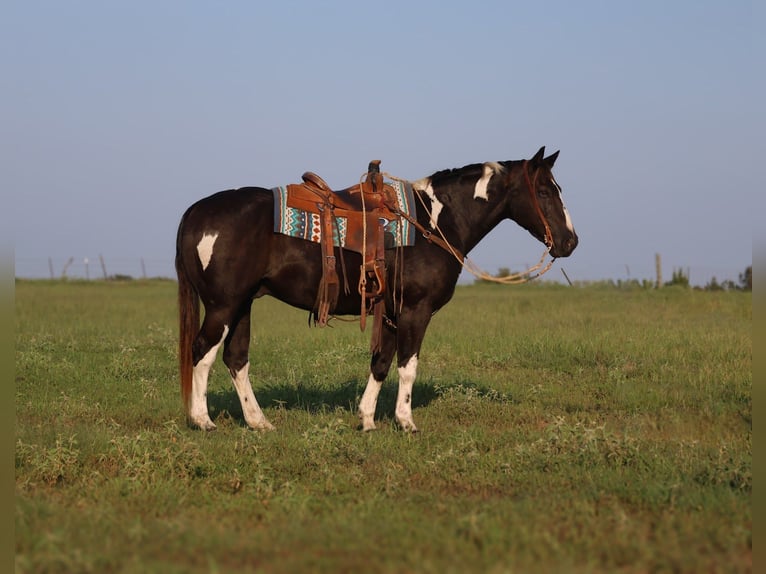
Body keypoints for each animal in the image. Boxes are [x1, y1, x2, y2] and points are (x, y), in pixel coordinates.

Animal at [175, 146, 578, 432]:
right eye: (544, 191)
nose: (570, 242)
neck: (434, 221)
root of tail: (196, 211)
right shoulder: (416, 309)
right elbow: (407, 366)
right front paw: (406, 422)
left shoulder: (391, 311)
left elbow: (381, 362)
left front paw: (367, 420)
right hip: (223, 305)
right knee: (203, 351)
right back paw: (202, 420)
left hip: (243, 303)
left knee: (236, 358)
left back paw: (259, 422)